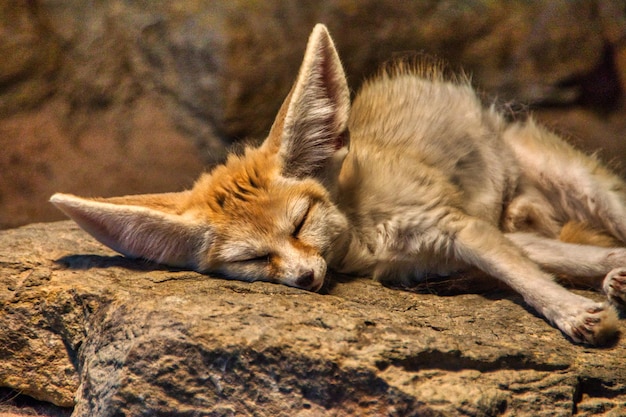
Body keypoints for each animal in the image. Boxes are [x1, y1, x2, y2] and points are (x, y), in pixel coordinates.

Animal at [52, 23, 624, 344]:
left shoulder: (456, 226)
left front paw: (575, 316)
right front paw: (591, 293)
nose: (306, 278)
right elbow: (553, 264)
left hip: (587, 190)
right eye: (253, 259)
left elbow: (526, 279)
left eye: (300, 223)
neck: (363, 236)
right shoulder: (441, 250)